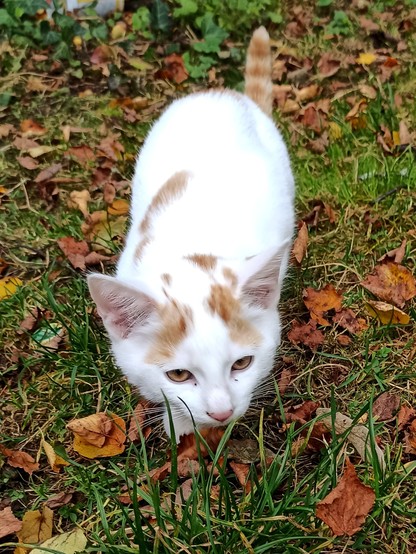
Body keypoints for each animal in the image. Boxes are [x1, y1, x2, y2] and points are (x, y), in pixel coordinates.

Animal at [88, 24, 296, 440]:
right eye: (179, 375)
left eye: (242, 363)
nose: (221, 412)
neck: (190, 252)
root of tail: (225, 94)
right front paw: (181, 422)